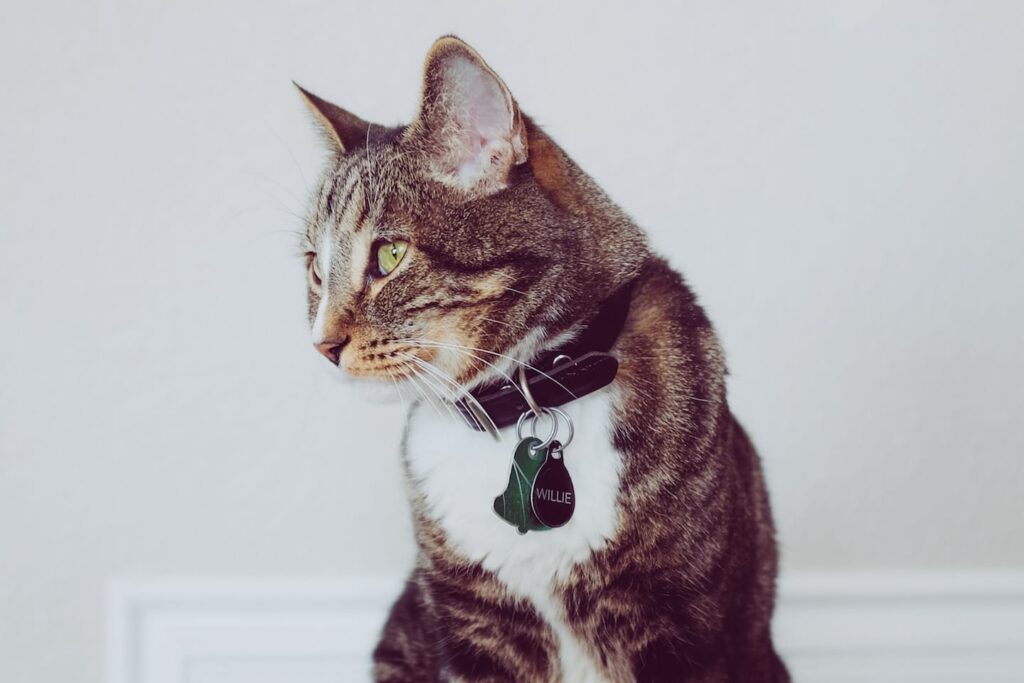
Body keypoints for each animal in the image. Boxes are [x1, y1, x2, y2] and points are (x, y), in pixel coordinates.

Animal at [292, 36, 786, 683]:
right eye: (314, 269)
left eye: (390, 255)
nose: (321, 344)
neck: (528, 394)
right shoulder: (473, 622)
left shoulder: (685, 625)